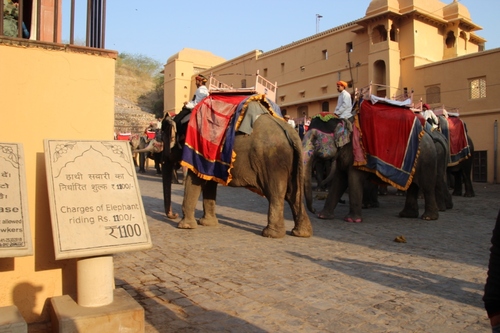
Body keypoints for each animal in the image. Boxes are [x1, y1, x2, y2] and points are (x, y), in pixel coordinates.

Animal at [161, 96, 312, 239]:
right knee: (293, 194)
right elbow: (210, 184)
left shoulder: (199, 150)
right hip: (291, 163)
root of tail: (291, 132)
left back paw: (271, 234)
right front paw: (207, 224)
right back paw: (301, 233)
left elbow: (194, 181)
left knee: (276, 194)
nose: (173, 214)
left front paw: (185, 226)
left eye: (163, 138)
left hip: (273, 162)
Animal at [304, 104, 442, 223]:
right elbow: (339, 180)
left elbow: (353, 180)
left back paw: (428, 217)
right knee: (412, 186)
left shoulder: (356, 156)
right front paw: (323, 216)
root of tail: (428, 135)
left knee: (427, 186)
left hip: (427, 159)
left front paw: (352, 220)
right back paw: (407, 215)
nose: (313, 210)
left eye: (315, 142)